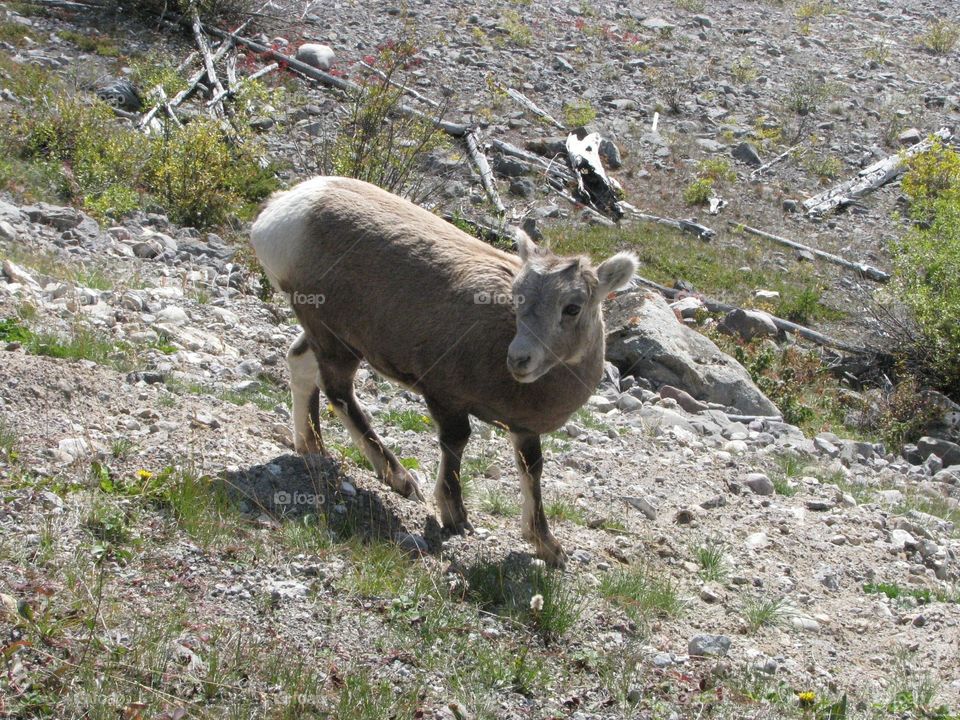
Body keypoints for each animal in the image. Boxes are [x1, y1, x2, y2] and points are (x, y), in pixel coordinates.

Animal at [251, 177, 632, 564]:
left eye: (572, 307)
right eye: (517, 296)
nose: (519, 359)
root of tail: (285, 208)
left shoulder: (523, 429)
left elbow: (532, 470)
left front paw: (547, 547)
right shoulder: (446, 398)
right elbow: (456, 443)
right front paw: (455, 517)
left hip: (327, 336)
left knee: (301, 365)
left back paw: (313, 448)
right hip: (334, 340)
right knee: (338, 391)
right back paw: (401, 480)